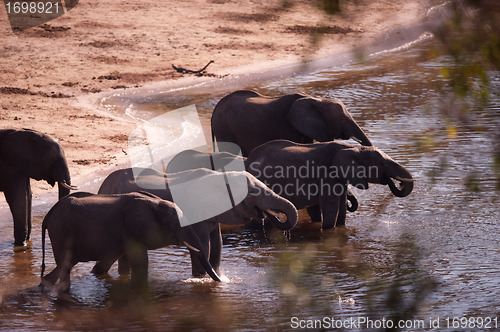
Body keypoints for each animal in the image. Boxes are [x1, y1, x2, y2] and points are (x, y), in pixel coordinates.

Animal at [39, 191, 219, 294]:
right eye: (176, 223)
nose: (222, 280)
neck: (154, 203)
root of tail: (47, 216)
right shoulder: (129, 231)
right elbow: (140, 261)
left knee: (63, 267)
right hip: (60, 232)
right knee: (65, 267)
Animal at [97, 169, 296, 278]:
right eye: (253, 192)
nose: (269, 215)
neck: (220, 177)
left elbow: (217, 245)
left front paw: (218, 276)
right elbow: (204, 246)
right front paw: (202, 279)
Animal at [246, 139, 414, 230]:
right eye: (381, 164)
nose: (399, 182)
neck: (352, 148)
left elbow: (341, 205)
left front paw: (340, 227)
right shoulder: (328, 175)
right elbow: (331, 206)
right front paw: (328, 230)